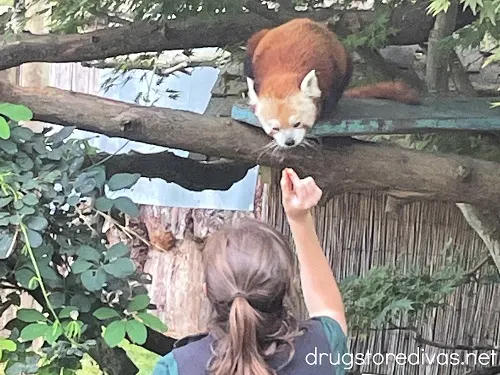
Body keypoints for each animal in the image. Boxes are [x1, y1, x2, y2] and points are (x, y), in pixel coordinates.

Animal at [244, 18, 420, 148]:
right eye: (275, 128)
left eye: (297, 123)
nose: (289, 142)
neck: (283, 71)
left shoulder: (329, 67)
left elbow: (331, 92)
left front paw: (325, 112)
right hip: (256, 42)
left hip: (343, 54)